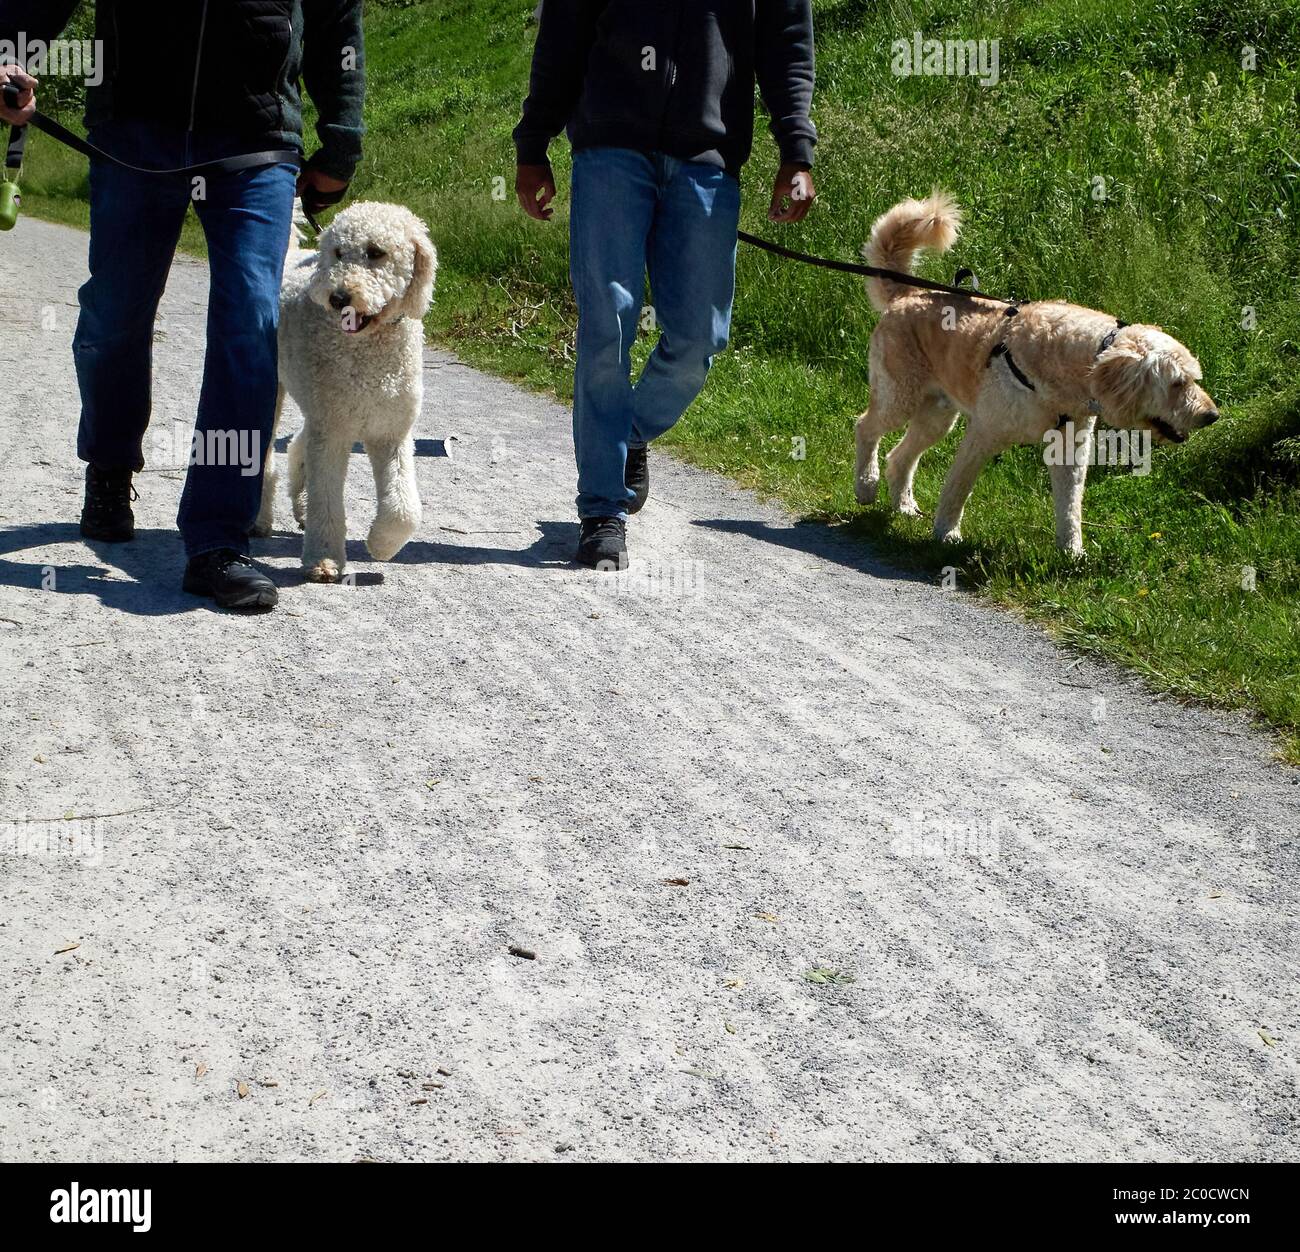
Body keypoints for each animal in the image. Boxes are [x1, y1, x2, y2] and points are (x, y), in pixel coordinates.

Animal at [252, 198, 436, 582]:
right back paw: (259, 518)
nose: (338, 297)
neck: (370, 350)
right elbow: (327, 501)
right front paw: (323, 559)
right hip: (277, 390)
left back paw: (300, 505)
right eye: (337, 253)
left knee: (298, 443)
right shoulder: (333, 434)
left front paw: (382, 544)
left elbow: (404, 508)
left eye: (376, 252)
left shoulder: (391, 432)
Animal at [852, 192, 1216, 553]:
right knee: (865, 427)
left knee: (900, 457)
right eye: (1177, 383)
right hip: (900, 398)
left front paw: (1072, 552)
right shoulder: (982, 434)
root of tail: (908, 294)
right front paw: (946, 533)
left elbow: (1069, 506)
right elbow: (958, 487)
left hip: (936, 415)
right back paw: (866, 486)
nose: (1211, 416)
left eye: (1193, 379)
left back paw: (903, 504)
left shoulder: (1070, 451)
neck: (1073, 363)